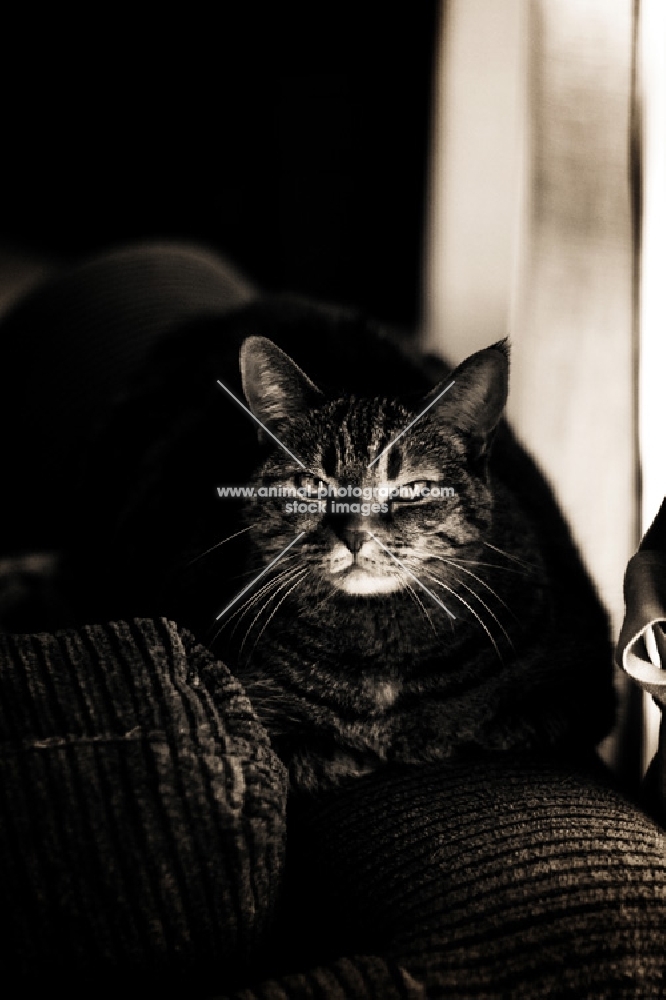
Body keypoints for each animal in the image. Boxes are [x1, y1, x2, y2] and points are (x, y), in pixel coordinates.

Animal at [70, 292, 616, 792]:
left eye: (412, 489)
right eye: (311, 485)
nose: (355, 535)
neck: (378, 645)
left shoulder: (579, 682)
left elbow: (493, 727)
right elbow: (313, 755)